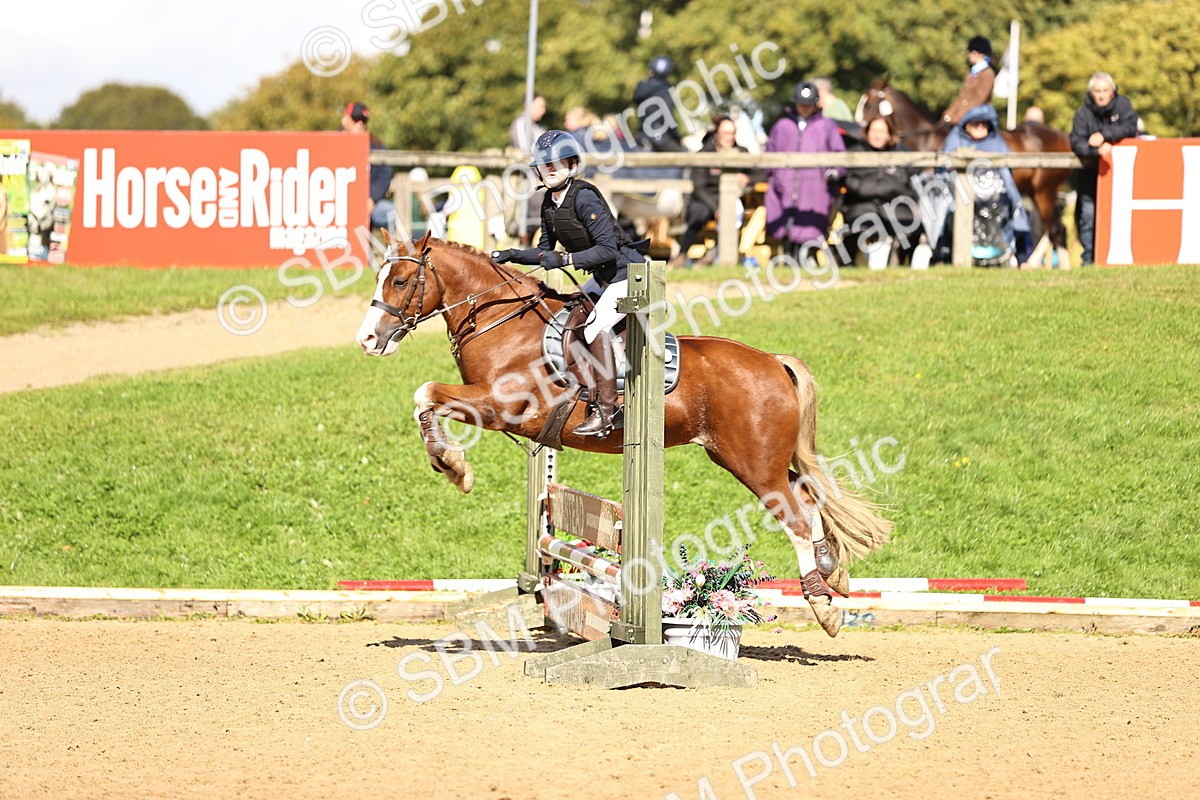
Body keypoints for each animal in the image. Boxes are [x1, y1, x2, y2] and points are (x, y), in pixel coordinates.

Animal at [355, 232, 893, 637]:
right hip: (750, 458)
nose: (367, 340)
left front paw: (454, 467)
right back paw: (832, 573)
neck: (503, 324)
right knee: (808, 496)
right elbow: (425, 400)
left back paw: (823, 607)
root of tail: (774, 362)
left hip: (754, 464)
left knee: (796, 517)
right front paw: (450, 463)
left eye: (400, 280)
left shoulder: (502, 407)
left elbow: (426, 393)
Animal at [856, 78, 1073, 263]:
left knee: (1056, 230)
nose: (863, 133)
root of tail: (1063, 137)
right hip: (1034, 194)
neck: (927, 141)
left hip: (1044, 192)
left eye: (868, 104)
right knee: (1053, 230)